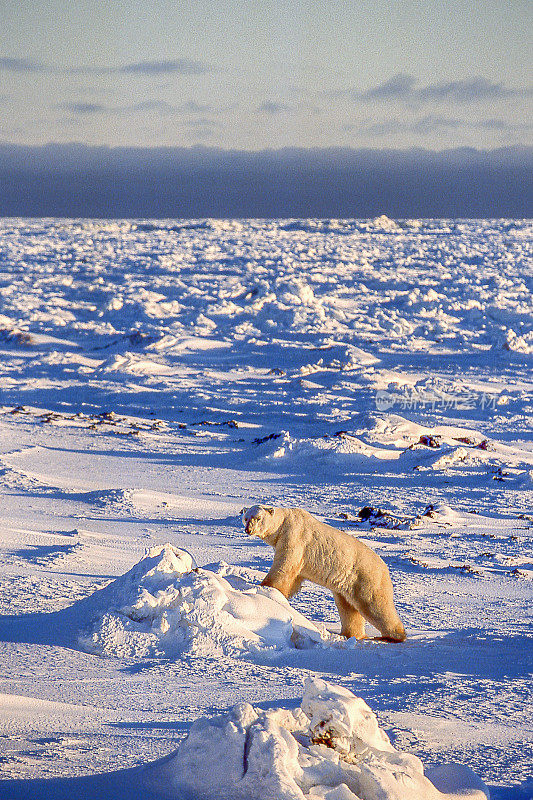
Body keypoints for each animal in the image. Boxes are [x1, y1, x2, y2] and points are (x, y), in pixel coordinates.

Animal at [243, 506, 406, 644]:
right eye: (246, 518)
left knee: (375, 605)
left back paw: (393, 636)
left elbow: (284, 567)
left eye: (258, 518)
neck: (284, 523)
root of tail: (385, 568)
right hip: (348, 584)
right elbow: (294, 578)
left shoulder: (294, 537)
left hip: (366, 577)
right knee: (348, 608)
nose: (248, 529)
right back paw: (351, 634)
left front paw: (265, 588)